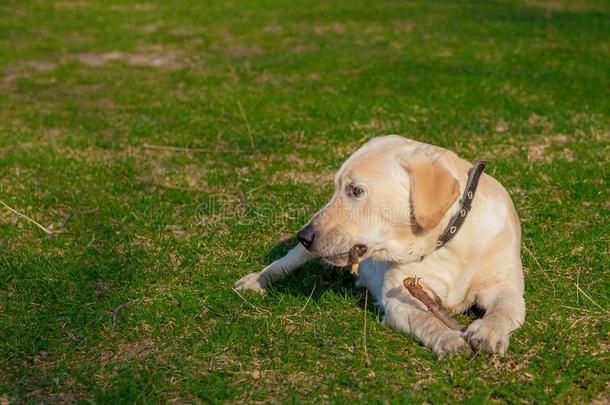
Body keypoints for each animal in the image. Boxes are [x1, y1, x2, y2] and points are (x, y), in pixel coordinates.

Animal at [233, 136, 524, 356]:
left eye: (356, 191)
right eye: (336, 188)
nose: (304, 235)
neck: (450, 241)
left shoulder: (507, 288)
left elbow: (504, 310)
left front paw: (487, 330)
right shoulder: (400, 297)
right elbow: (426, 319)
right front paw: (447, 338)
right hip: (299, 254)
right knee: (283, 263)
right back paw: (255, 281)